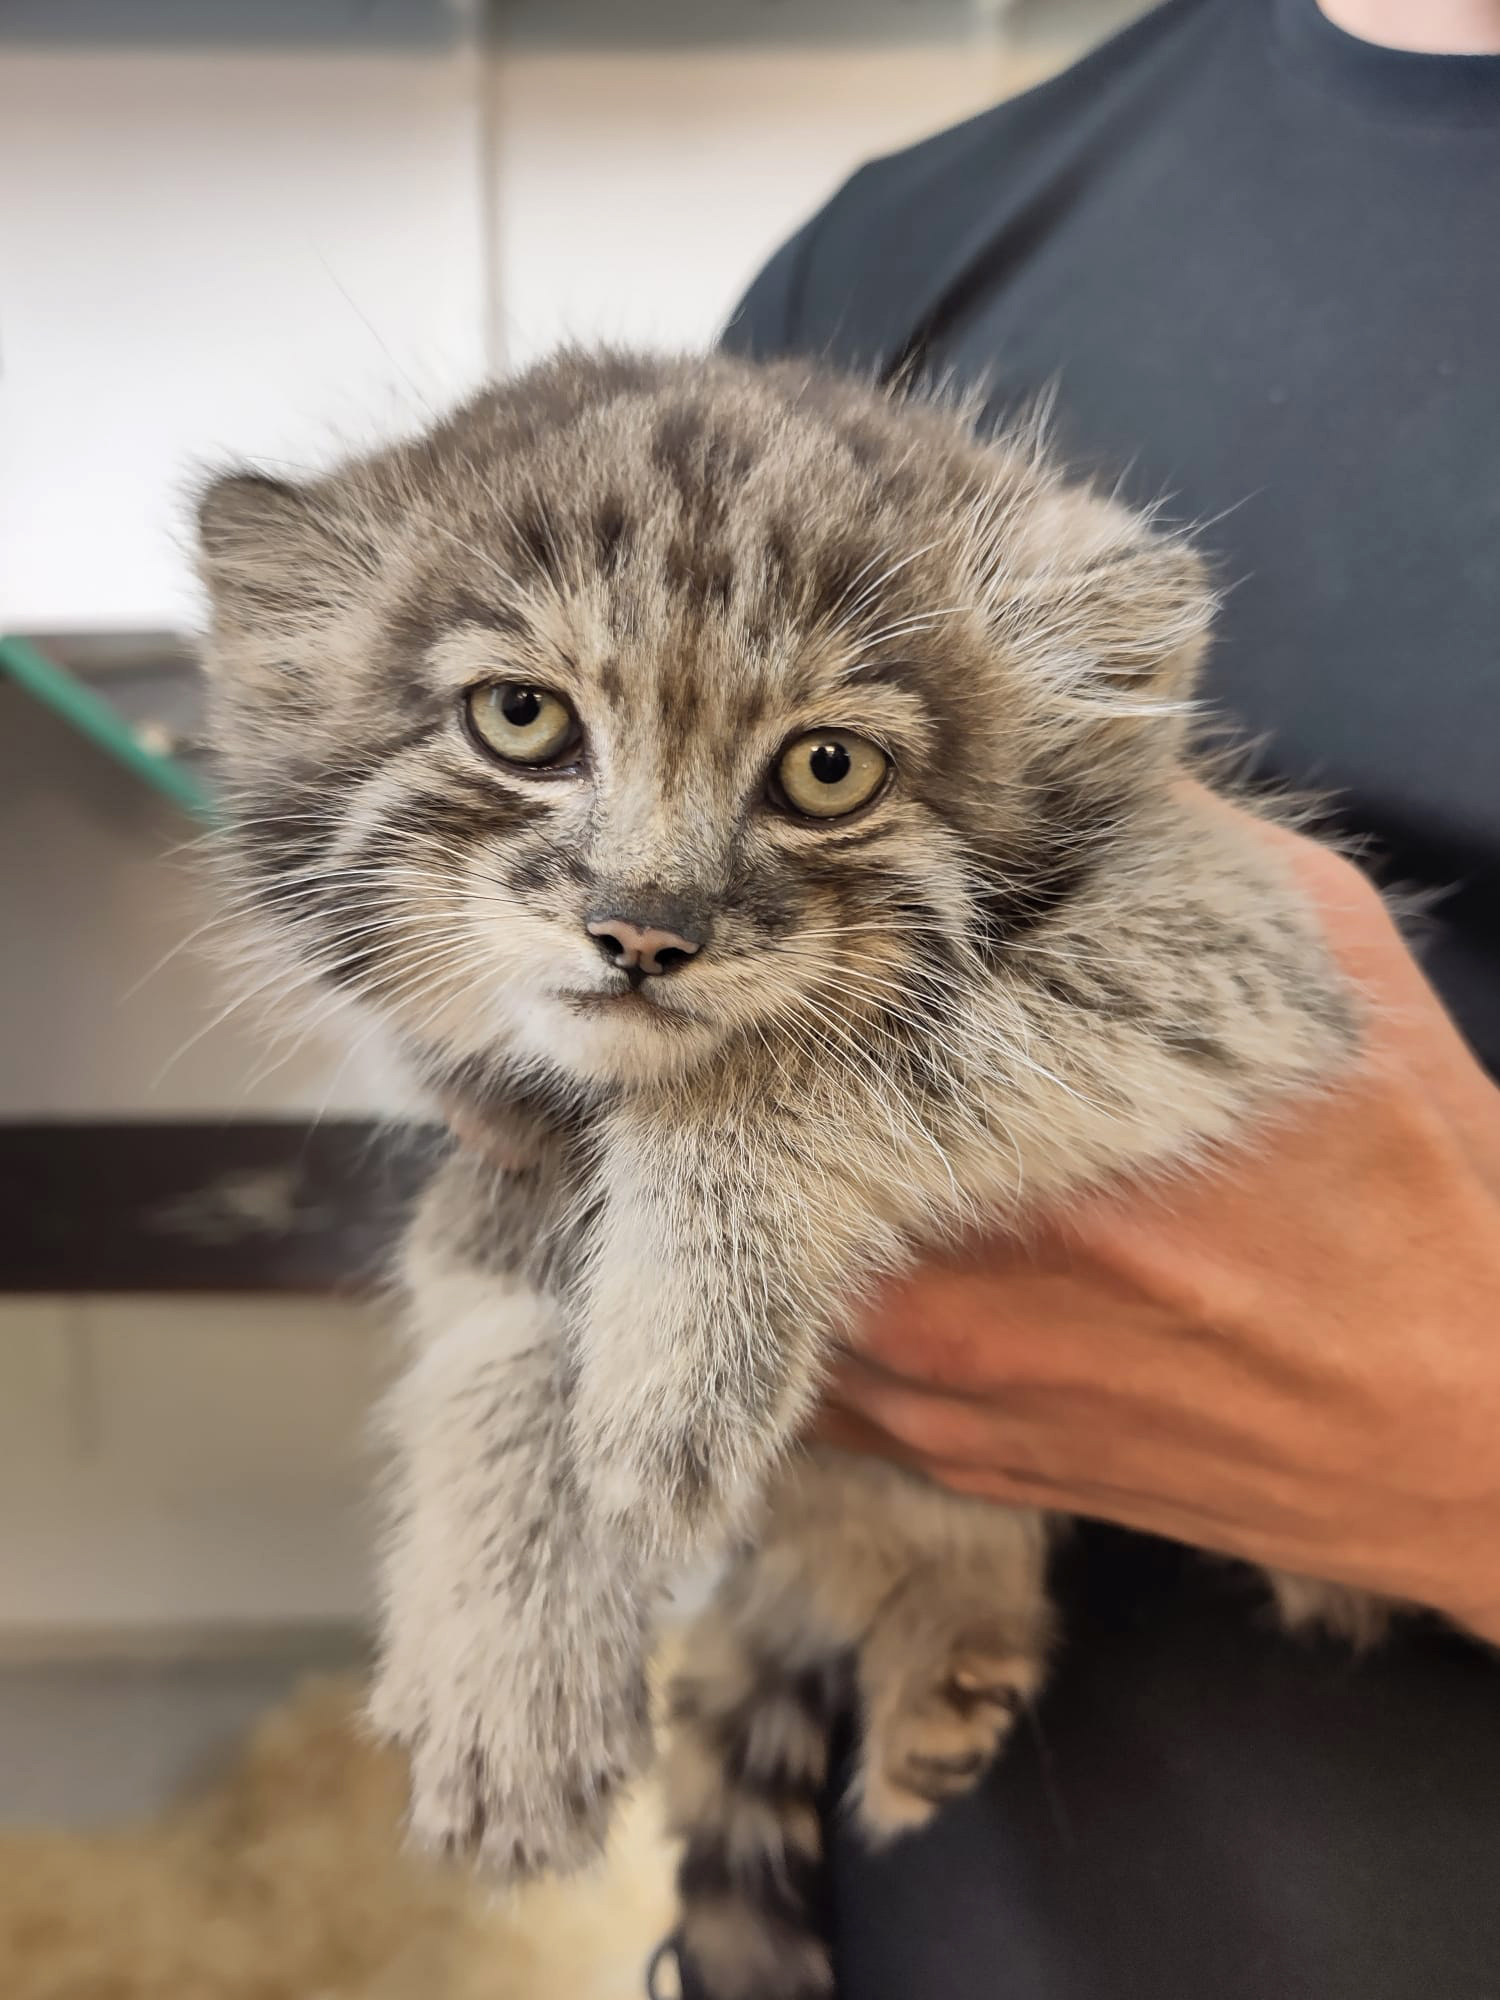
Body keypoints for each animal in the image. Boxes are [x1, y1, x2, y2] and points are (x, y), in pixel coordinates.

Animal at [196, 348, 1374, 2000]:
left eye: (827, 770)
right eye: (521, 719)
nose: (643, 928)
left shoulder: (1237, 932)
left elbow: (794, 1065)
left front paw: (680, 1351)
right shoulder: (502, 1127)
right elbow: (495, 1300)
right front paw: (511, 1639)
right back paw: (950, 1643)